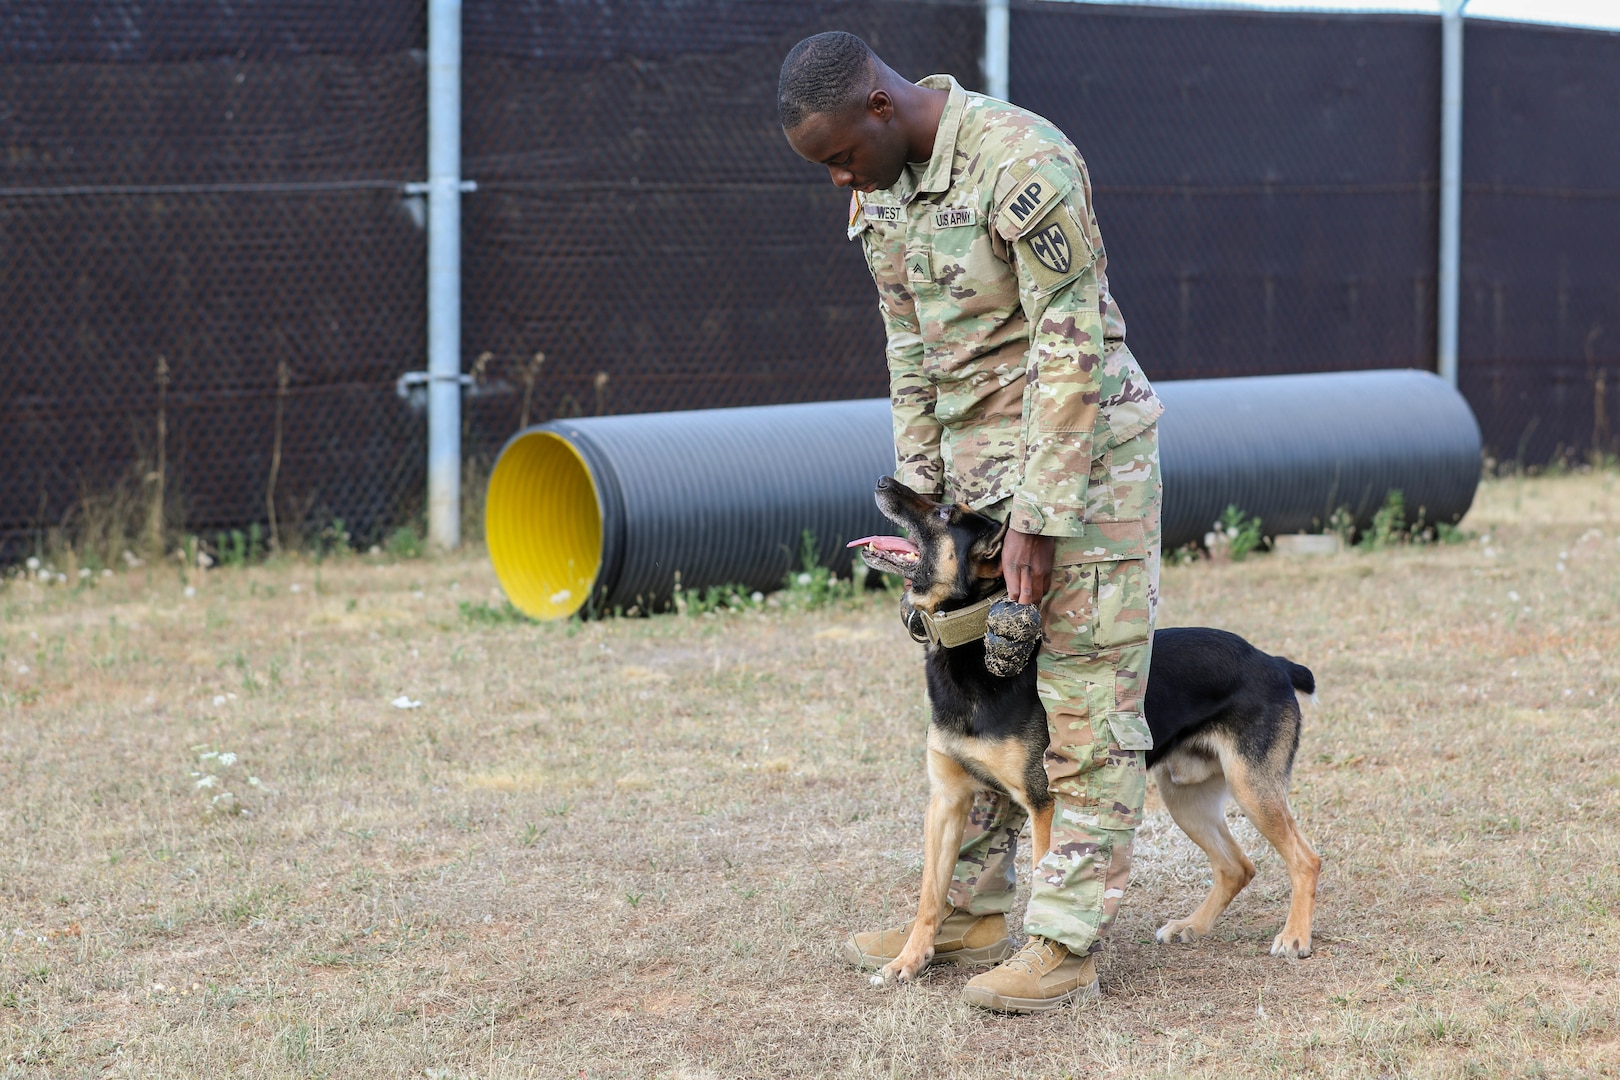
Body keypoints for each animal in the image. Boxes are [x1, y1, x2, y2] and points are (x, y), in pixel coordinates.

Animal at [855, 476, 1321, 984]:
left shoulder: (1044, 804)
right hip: (1186, 799)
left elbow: (1045, 884)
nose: (882, 481)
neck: (972, 646)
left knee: (1305, 858)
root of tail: (1273, 661)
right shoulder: (947, 801)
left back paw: (1295, 937)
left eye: (943, 513)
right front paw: (909, 960)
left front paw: (1036, 959)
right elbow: (930, 895)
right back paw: (1192, 927)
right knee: (1238, 866)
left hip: (1251, 788)